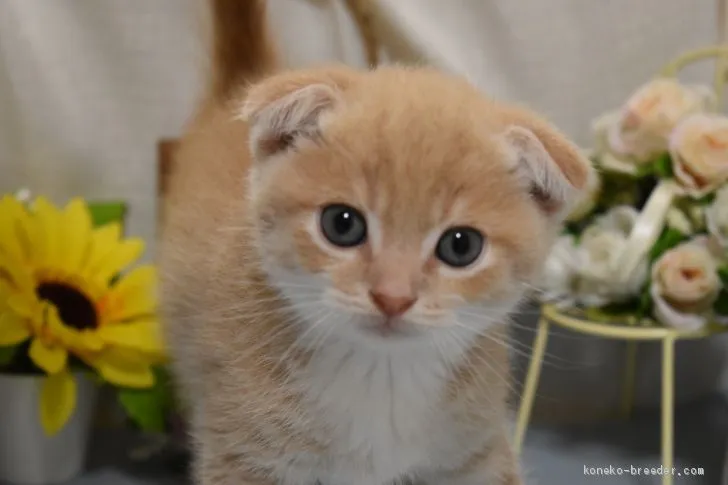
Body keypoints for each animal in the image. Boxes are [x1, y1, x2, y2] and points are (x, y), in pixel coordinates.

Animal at [159, 0, 592, 484]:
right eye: (342, 224)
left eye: (461, 246)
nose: (392, 297)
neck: (381, 376)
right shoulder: (242, 453)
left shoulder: (477, 452)